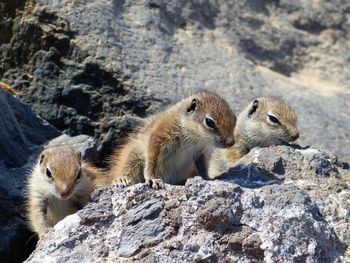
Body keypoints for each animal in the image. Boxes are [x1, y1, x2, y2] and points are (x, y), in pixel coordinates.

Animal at [108, 92, 237, 189]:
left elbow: (203, 167)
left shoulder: (199, 152)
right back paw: (121, 179)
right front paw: (151, 177)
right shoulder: (160, 134)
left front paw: (210, 178)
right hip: (133, 156)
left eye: (235, 118)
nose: (231, 142)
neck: (193, 139)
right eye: (209, 122)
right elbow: (152, 158)